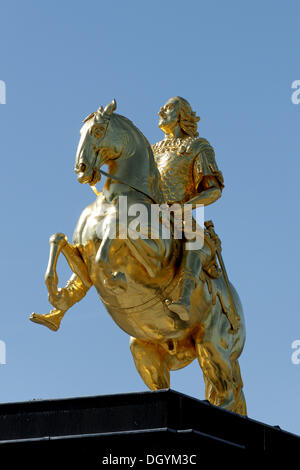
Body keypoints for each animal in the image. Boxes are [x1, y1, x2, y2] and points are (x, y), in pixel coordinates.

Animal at [29, 99, 246, 414]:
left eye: (98, 130)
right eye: (81, 130)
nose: (81, 169)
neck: (114, 198)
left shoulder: (156, 261)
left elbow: (117, 232)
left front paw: (115, 279)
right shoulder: (81, 250)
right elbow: (60, 242)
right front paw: (57, 300)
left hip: (212, 346)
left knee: (226, 394)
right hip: (145, 350)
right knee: (167, 385)